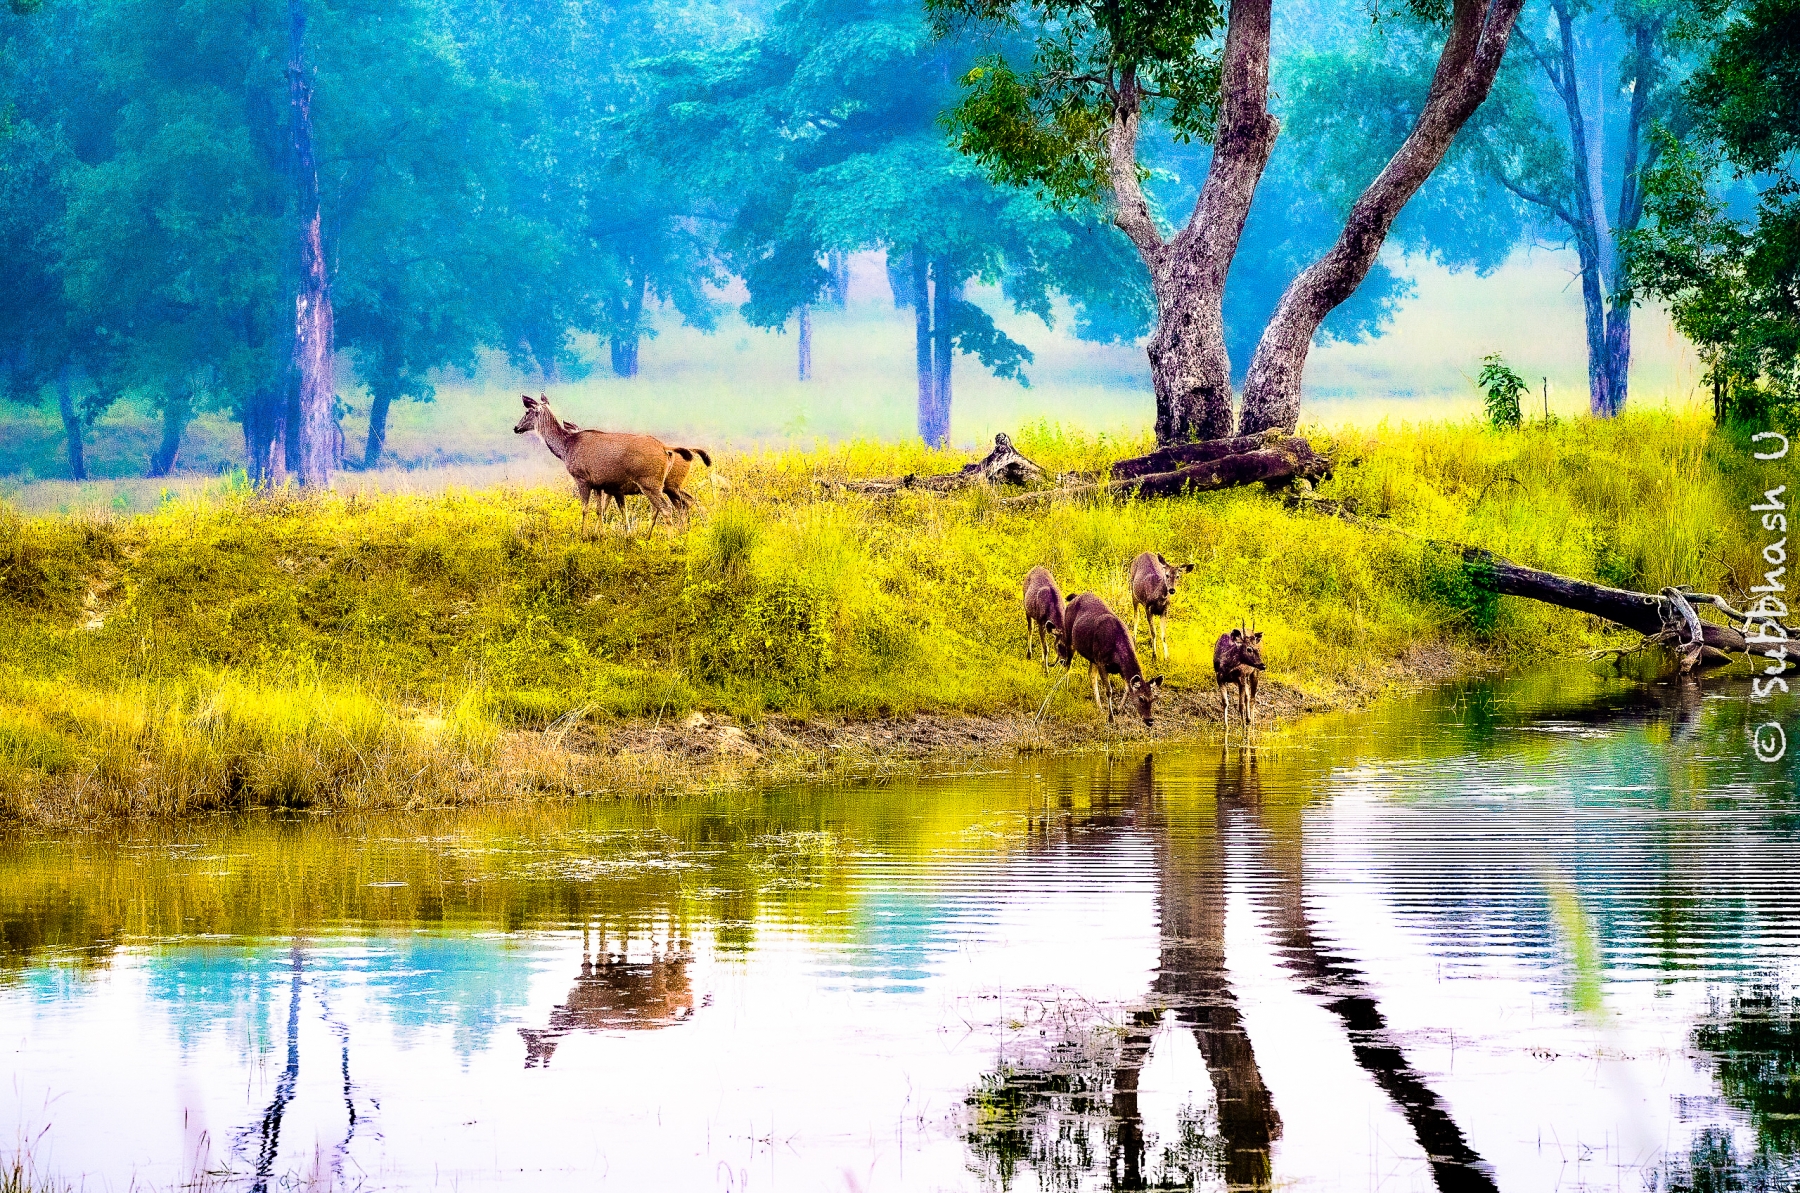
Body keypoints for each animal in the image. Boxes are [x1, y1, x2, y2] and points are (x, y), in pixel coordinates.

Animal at [518, 394, 676, 539]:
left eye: (527, 412)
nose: (516, 428)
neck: (566, 449)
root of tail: (666, 452)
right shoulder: (598, 484)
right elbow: (599, 510)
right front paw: (600, 534)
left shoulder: (582, 478)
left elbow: (585, 509)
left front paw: (583, 535)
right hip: (655, 484)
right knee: (658, 509)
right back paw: (648, 537)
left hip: (649, 482)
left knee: (666, 508)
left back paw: (670, 541)